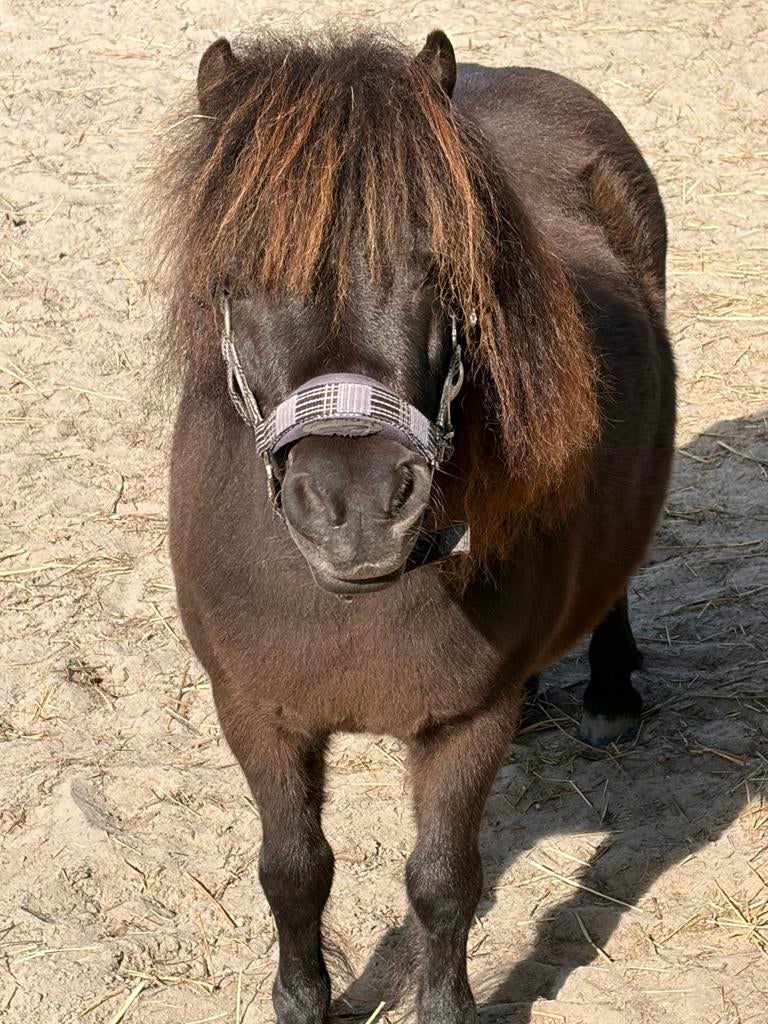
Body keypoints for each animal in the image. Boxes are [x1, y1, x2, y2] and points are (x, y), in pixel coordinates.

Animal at [153, 28, 675, 1024]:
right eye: (235, 278)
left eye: (439, 269)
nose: (357, 511)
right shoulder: (255, 709)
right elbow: (294, 873)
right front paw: (303, 1002)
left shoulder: (463, 724)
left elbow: (441, 883)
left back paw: (607, 694)